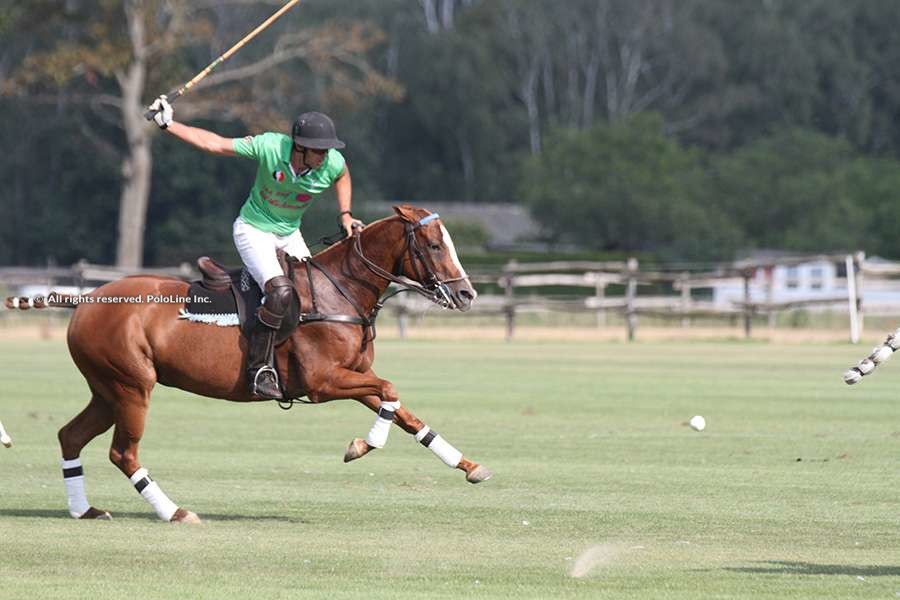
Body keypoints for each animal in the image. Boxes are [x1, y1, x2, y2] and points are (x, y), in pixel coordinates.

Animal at [7, 205, 488, 520]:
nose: (467, 294)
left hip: (107, 388)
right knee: (123, 452)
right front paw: (361, 446)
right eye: (433, 244)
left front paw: (468, 467)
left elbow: (405, 413)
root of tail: (85, 299)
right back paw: (175, 511)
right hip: (132, 386)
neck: (339, 292)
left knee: (70, 436)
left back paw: (84, 510)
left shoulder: (353, 375)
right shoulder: (324, 382)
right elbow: (390, 390)